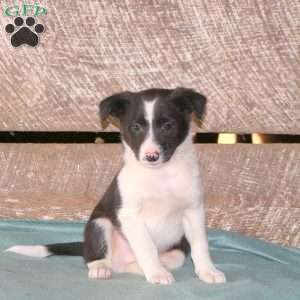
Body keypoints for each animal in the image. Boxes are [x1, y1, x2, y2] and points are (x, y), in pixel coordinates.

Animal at [6, 88, 225, 284]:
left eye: (168, 126)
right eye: (136, 127)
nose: (151, 156)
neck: (160, 175)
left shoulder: (193, 211)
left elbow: (200, 245)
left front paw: (208, 271)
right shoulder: (129, 214)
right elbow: (146, 246)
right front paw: (157, 274)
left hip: (178, 248)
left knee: (154, 261)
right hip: (99, 224)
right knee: (96, 258)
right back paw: (102, 267)